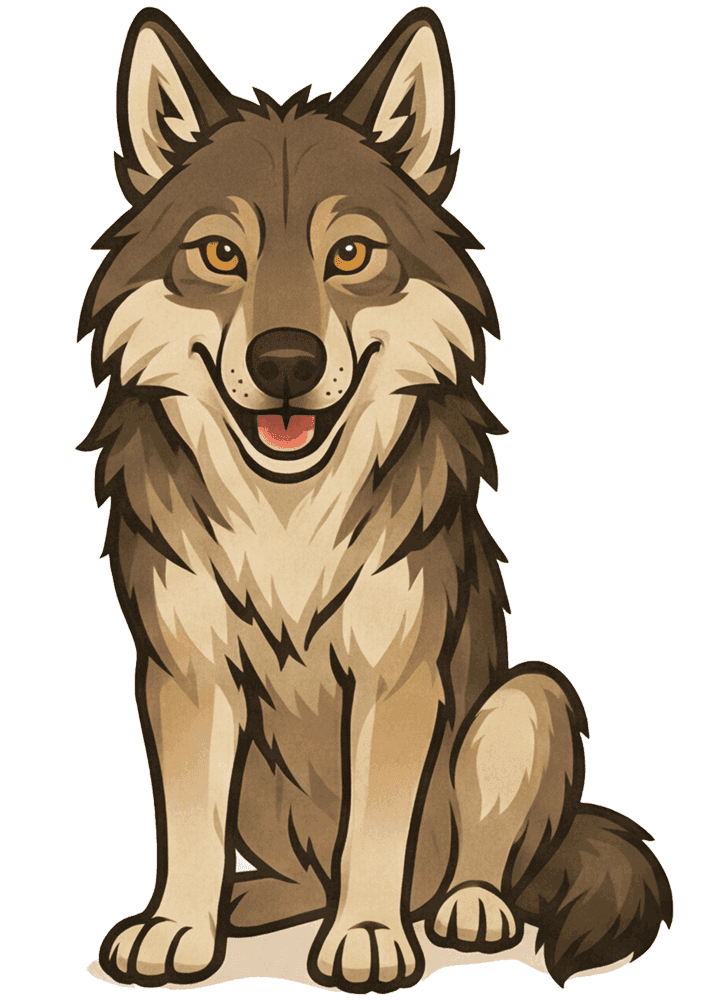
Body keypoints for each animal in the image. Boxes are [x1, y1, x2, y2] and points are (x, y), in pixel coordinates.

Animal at [78, 6, 672, 992]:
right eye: (221, 254)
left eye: (350, 253)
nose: (287, 362)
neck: (287, 512)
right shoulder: (188, 675)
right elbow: (191, 827)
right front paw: (179, 929)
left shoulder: (398, 679)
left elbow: (377, 832)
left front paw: (365, 936)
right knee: (298, 867)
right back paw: (254, 902)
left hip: (529, 701)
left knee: (463, 861)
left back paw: (469, 909)